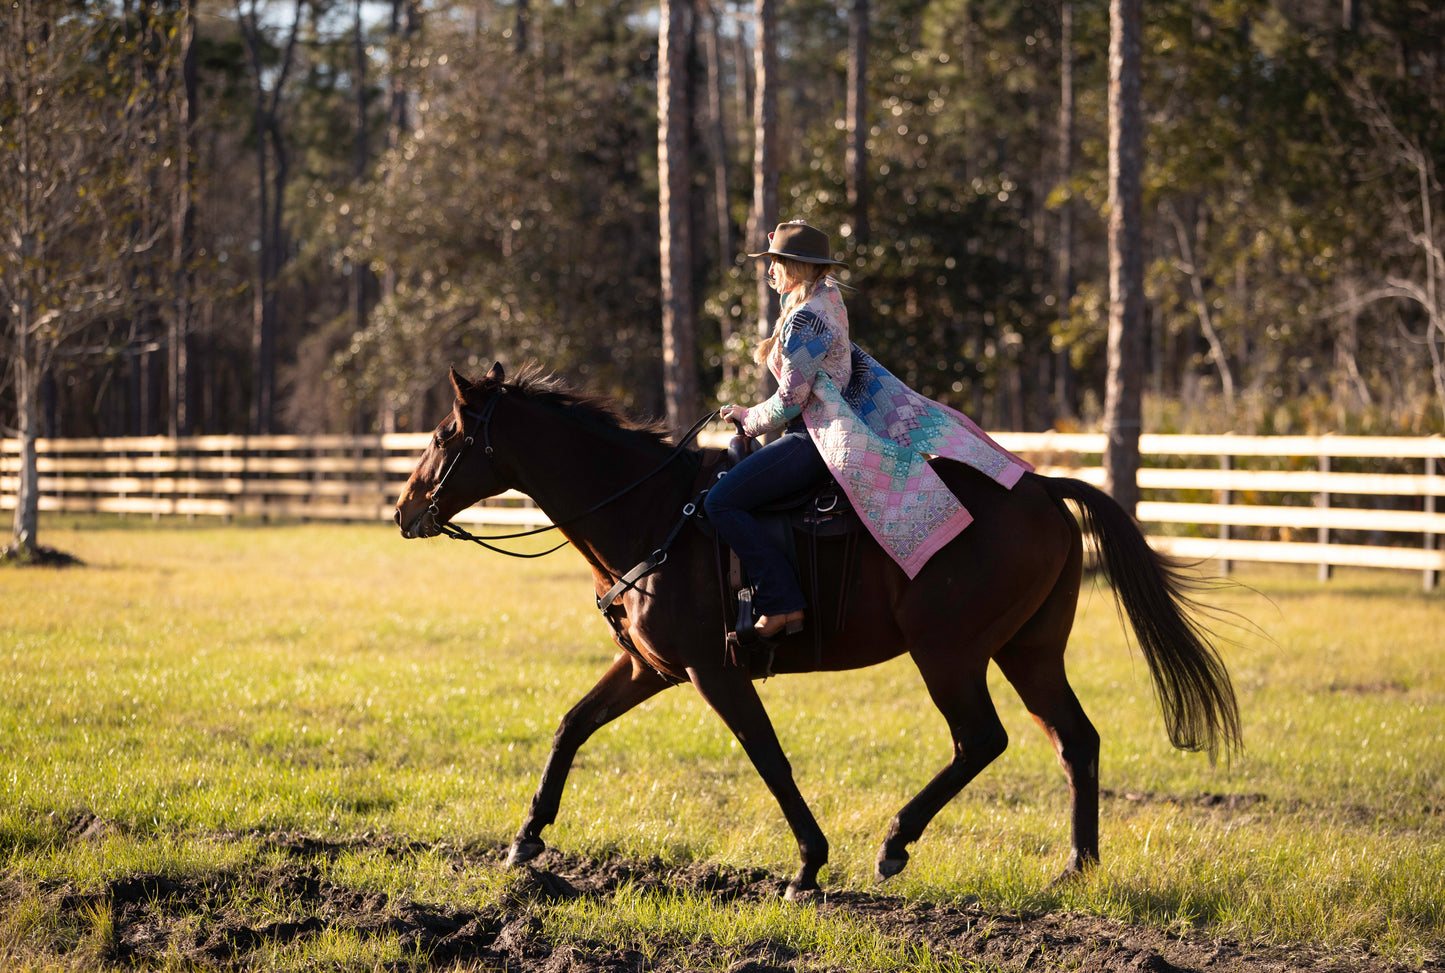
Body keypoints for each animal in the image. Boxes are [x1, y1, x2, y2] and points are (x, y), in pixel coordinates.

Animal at [395, 359, 1242, 902]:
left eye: (442, 434)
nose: (403, 510)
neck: (655, 513)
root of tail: (1042, 486)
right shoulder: (648, 667)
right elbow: (571, 726)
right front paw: (525, 838)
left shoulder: (712, 670)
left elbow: (767, 757)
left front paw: (807, 865)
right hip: (1028, 651)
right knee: (1075, 739)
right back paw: (1075, 866)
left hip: (949, 653)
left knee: (980, 739)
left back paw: (897, 842)